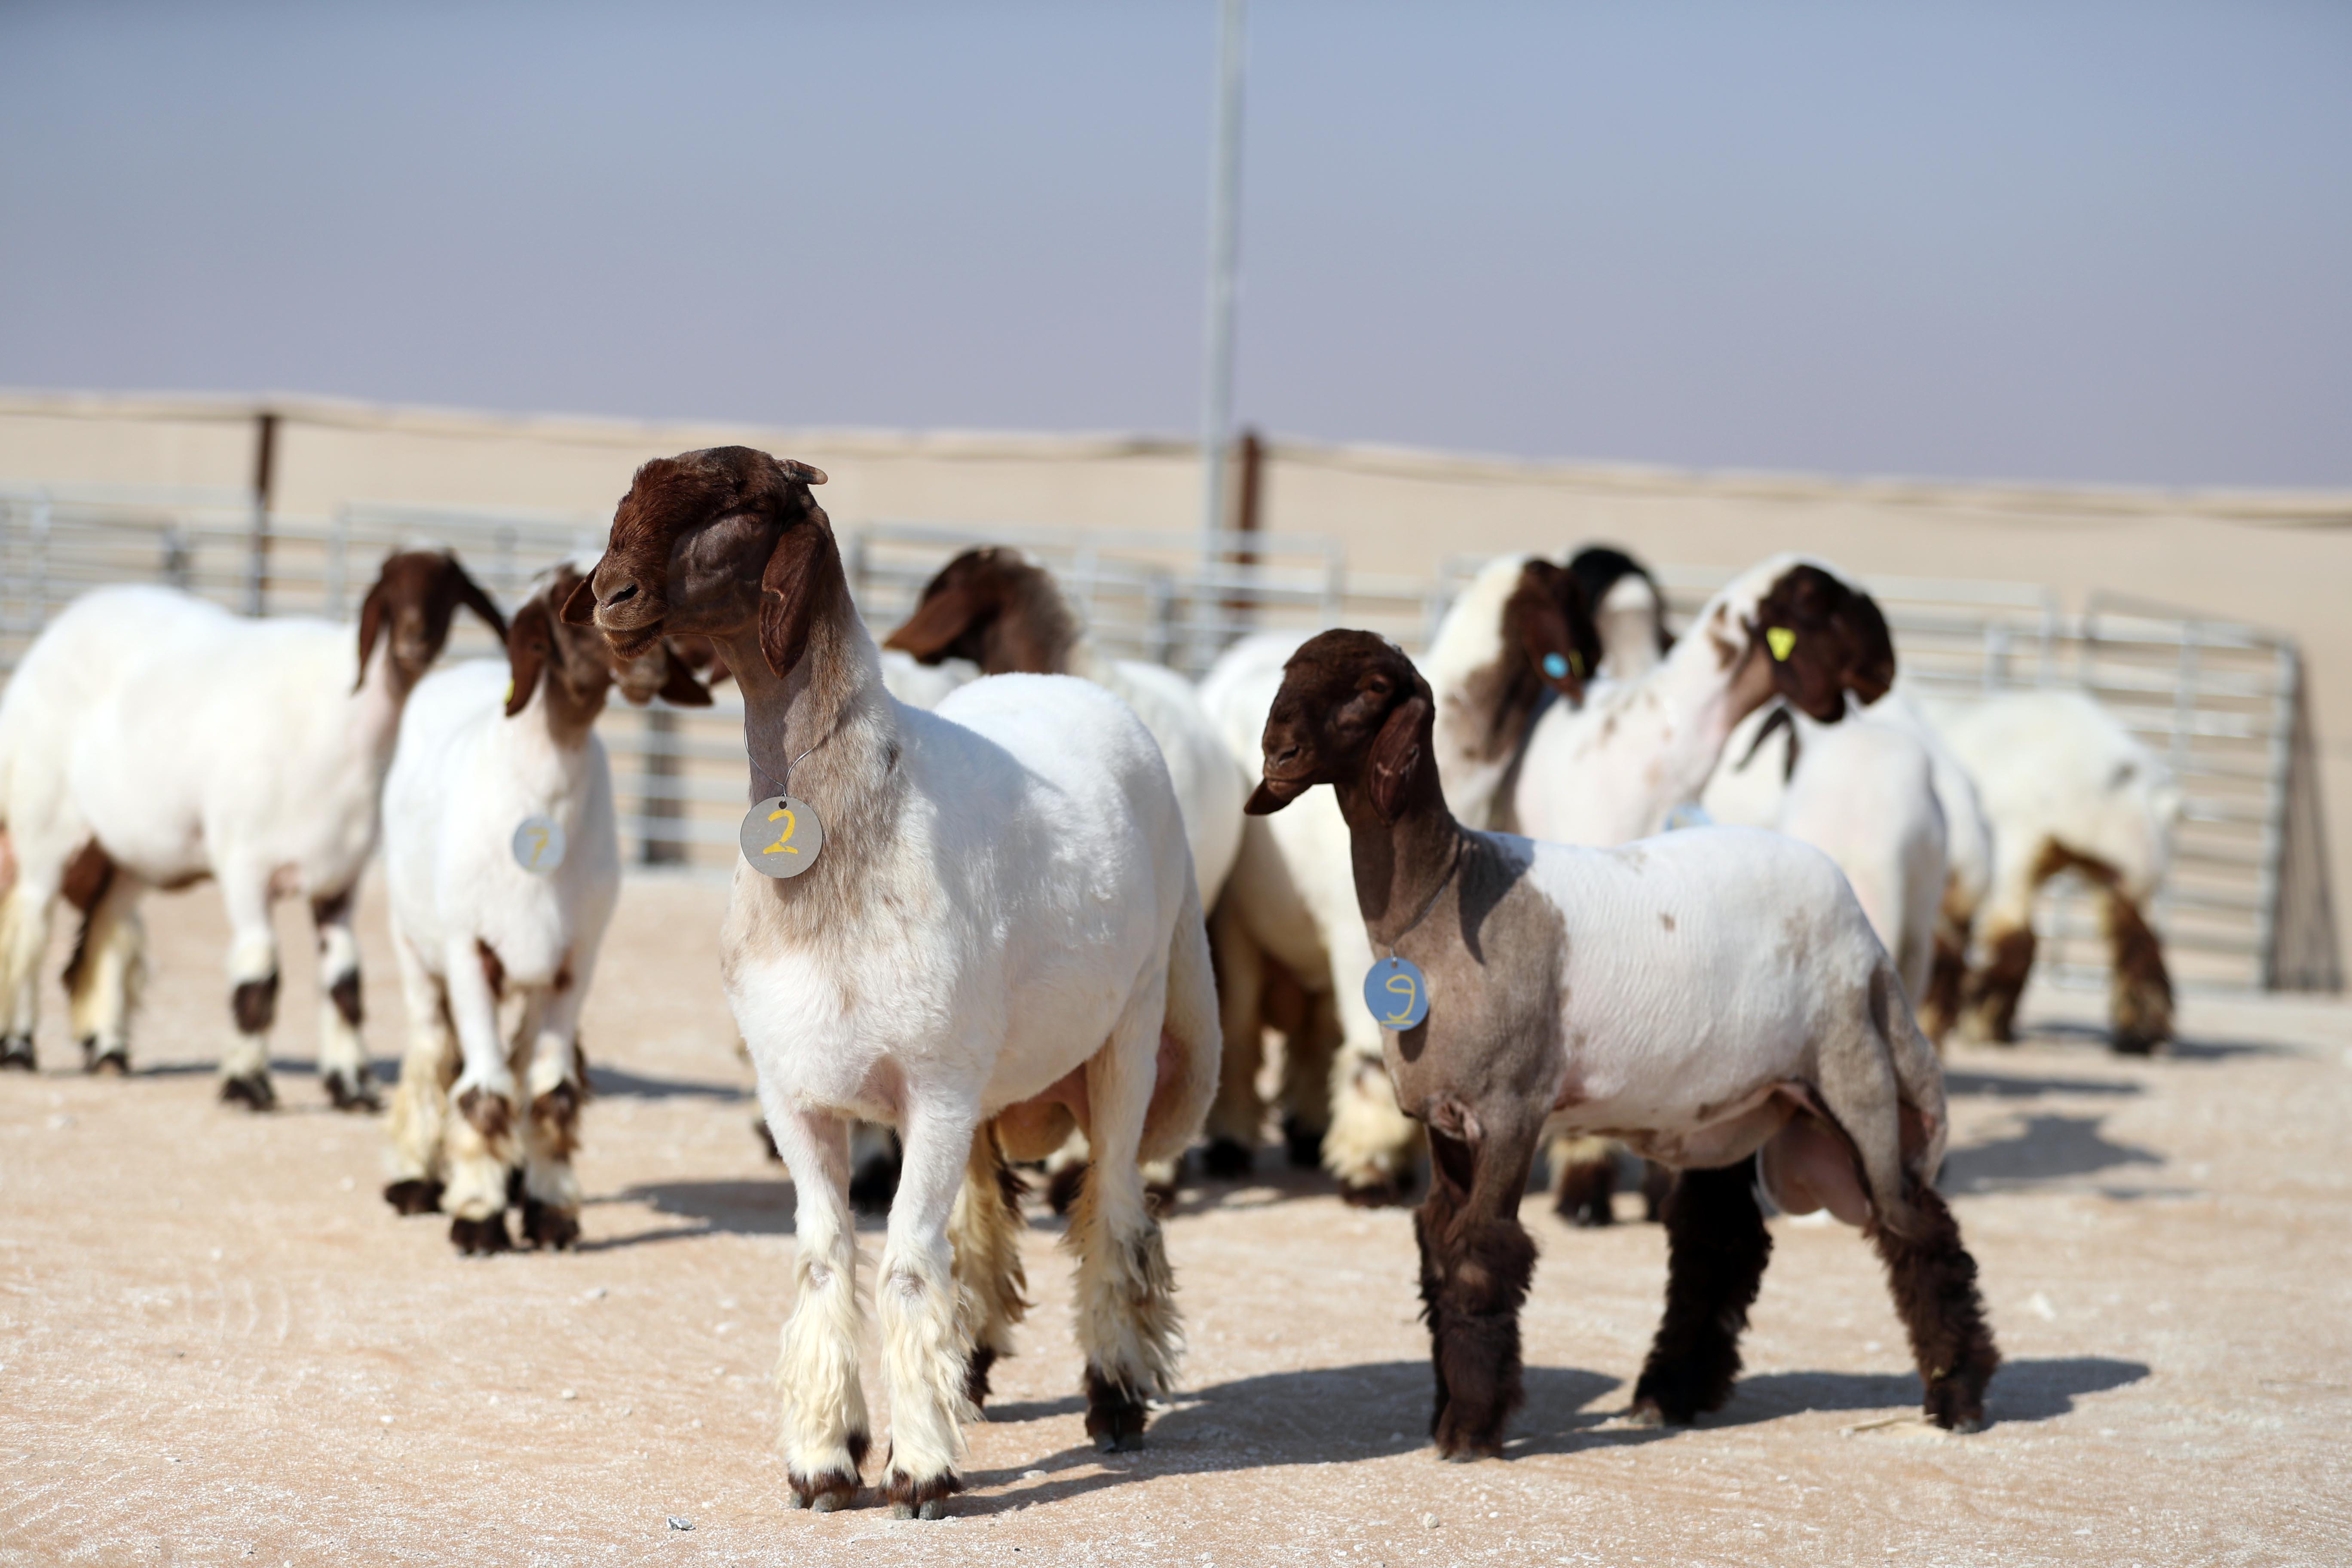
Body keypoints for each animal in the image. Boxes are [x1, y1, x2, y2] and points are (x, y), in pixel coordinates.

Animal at [0, 552, 510, 1105]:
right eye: (391, 591)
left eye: (450, 591)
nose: (414, 640)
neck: (346, 721)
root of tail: (53, 637)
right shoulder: (245, 864)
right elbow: (259, 976)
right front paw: (246, 1085)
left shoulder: (340, 879)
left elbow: (345, 983)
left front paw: (351, 1085)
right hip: (43, 825)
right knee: (31, 928)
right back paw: (19, 1048)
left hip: (129, 851)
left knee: (107, 929)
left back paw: (109, 1052)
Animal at [371, 557, 705, 1260]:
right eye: (567, 605)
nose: (649, 662)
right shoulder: (468, 952)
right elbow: (483, 1092)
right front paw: (477, 1216)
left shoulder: (575, 963)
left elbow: (552, 1095)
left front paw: (549, 1212)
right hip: (415, 947)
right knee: (432, 1053)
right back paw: (416, 1179)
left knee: (518, 1062)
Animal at [576, 451, 1223, 1523]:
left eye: (741, 507)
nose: (608, 596)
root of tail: (1074, 685)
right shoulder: (795, 1091)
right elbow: (826, 1258)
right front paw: (825, 1459)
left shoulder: (936, 1084)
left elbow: (910, 1267)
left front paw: (920, 1469)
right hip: (991, 1067)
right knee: (987, 1215)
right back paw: (972, 1370)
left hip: (1129, 1028)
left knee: (1115, 1204)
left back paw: (1116, 1397)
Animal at [1194, 557, 1599, 1194]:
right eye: (1575, 596)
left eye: (1375, 687)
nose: (1277, 757)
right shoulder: (1356, 936)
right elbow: (1372, 1050)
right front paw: (1370, 1167)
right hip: (1236, 924)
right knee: (1237, 1035)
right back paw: (1231, 1142)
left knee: (1313, 1037)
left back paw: (1308, 1134)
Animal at [1919, 695, 2173, 1053]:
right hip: (2125, 864)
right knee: (2138, 941)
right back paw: (2141, 1032)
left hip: (2017, 852)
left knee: (2016, 939)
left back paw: (1982, 1023)